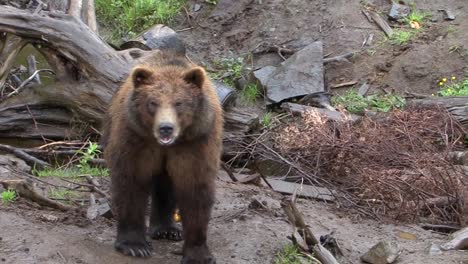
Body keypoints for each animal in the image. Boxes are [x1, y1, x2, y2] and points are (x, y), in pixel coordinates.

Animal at [100, 52, 223, 264]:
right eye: (153, 102)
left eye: (179, 102)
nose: (166, 127)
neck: (167, 144)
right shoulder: (135, 139)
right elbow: (131, 183)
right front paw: (134, 246)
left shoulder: (195, 145)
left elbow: (195, 191)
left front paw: (198, 254)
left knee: (166, 185)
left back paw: (167, 229)